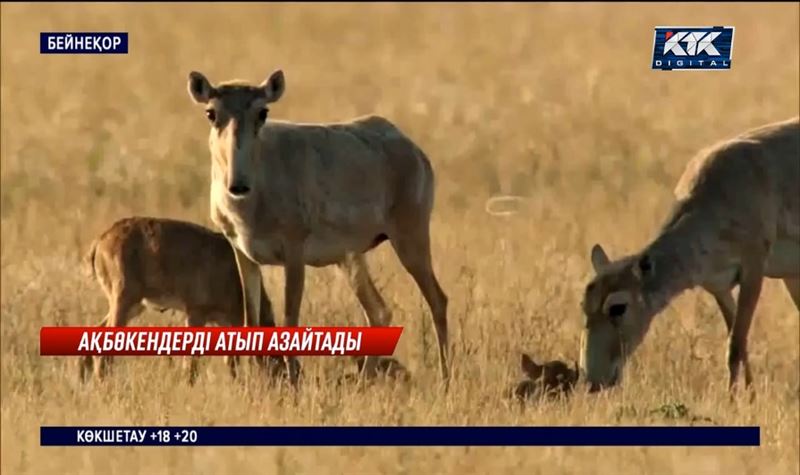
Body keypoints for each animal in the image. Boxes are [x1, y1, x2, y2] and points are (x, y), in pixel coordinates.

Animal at [81, 218, 284, 384]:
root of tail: (100, 241)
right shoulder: (195, 313)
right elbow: (192, 363)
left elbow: (231, 362)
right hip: (124, 301)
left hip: (134, 306)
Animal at [187, 68, 450, 386]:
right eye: (211, 112)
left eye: (262, 112)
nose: (238, 185)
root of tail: (412, 148)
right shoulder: (243, 254)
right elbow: (251, 319)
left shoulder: (294, 253)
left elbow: (290, 319)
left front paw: (293, 383)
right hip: (350, 259)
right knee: (379, 311)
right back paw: (362, 384)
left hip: (411, 240)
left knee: (437, 300)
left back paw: (445, 380)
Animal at [580, 118, 800, 394]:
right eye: (584, 304)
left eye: (618, 307)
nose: (592, 381)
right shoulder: (718, 286)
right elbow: (739, 344)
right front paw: (748, 396)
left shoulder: (754, 269)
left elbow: (735, 346)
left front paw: (734, 399)